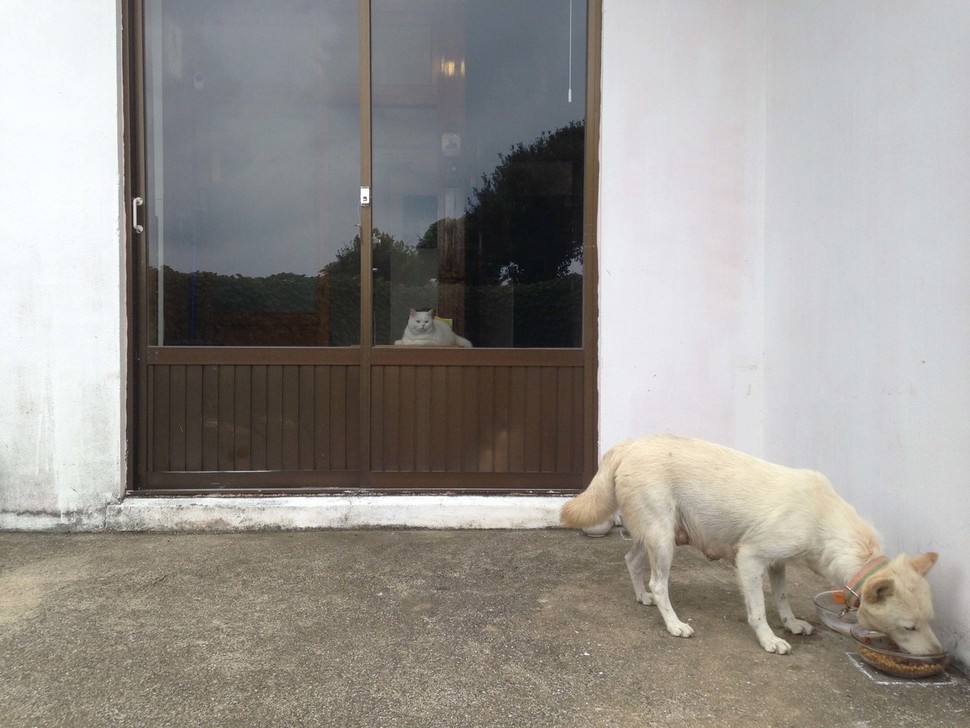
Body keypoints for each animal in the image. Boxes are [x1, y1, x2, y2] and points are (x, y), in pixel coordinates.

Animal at [560, 436, 936, 656]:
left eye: (928, 620)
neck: (823, 517)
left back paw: (643, 597)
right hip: (663, 539)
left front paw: (791, 623)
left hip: (659, 534)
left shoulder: (778, 563)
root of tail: (627, 445)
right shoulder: (751, 559)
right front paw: (769, 639)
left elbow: (782, 598)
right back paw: (674, 624)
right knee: (659, 582)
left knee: (633, 561)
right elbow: (757, 610)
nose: (936, 653)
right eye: (909, 627)